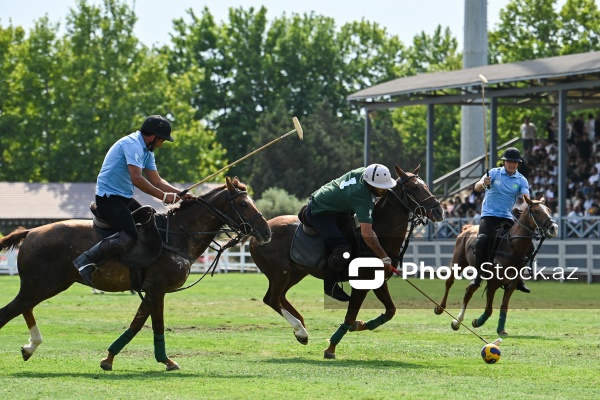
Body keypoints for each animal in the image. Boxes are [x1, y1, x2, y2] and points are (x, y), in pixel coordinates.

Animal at [0, 178, 270, 372]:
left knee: (24, 308)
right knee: (10, 311)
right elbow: (154, 324)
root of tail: (31, 232)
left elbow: (138, 323)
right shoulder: (157, 289)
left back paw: (30, 347)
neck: (177, 235)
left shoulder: (150, 290)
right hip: (41, 285)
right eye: (243, 204)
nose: (266, 231)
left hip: (45, 286)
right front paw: (166, 361)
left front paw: (109, 358)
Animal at [248, 164, 446, 358]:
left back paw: (301, 329)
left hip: (296, 272)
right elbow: (350, 317)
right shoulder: (361, 283)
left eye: (426, 185)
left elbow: (390, 311)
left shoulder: (378, 281)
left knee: (280, 297)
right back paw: (300, 329)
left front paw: (361, 325)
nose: (439, 211)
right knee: (272, 299)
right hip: (280, 272)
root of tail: (256, 235)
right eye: (414, 188)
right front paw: (331, 348)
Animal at [436, 195, 556, 336]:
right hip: (459, 262)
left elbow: (504, 307)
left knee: (469, 290)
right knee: (451, 282)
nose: (554, 228)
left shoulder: (511, 284)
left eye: (549, 210)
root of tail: (468, 228)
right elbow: (489, 309)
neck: (512, 248)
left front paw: (501, 330)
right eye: (537, 211)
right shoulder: (492, 283)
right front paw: (477, 322)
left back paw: (457, 321)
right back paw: (443, 310)